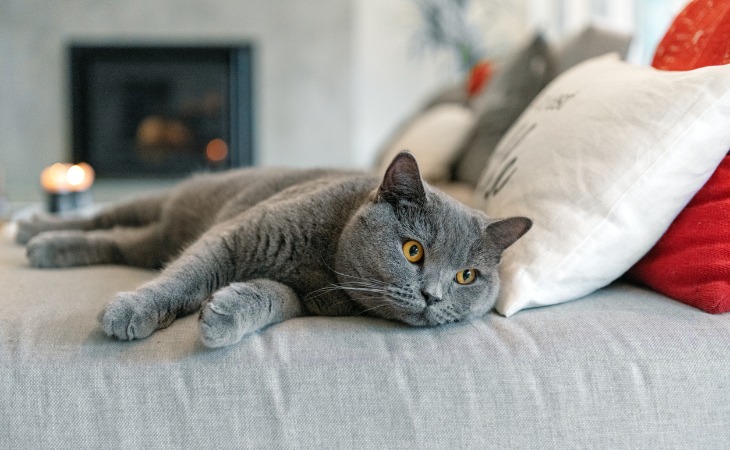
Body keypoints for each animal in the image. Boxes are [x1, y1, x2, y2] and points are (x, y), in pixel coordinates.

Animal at [15, 153, 528, 346]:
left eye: (466, 277)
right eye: (414, 251)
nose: (433, 296)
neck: (324, 265)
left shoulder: (304, 299)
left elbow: (274, 298)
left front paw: (225, 314)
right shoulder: (234, 235)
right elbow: (185, 275)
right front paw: (135, 310)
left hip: (151, 240)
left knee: (119, 242)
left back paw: (48, 246)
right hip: (169, 201)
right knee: (104, 217)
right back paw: (34, 231)